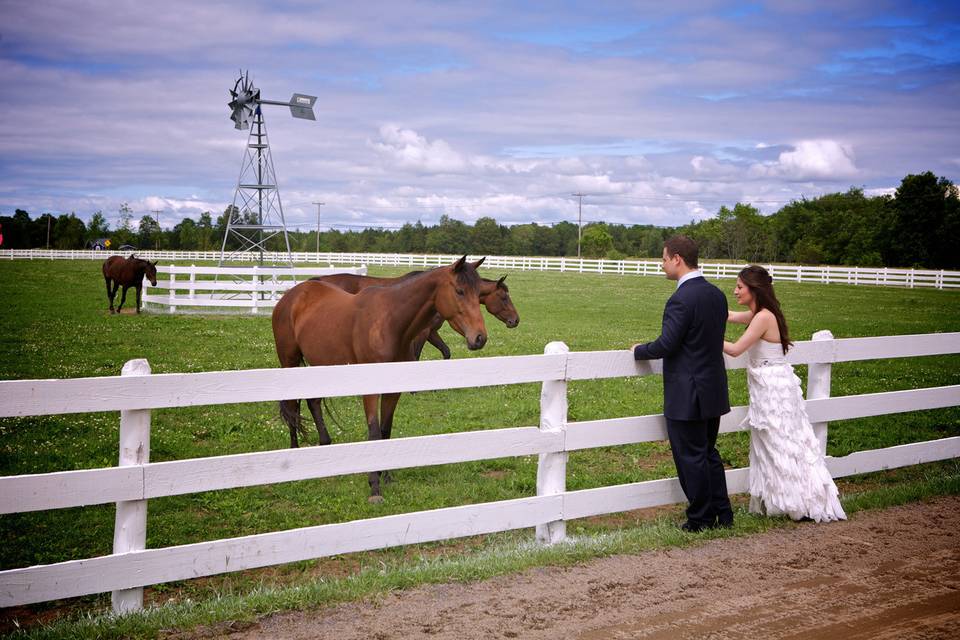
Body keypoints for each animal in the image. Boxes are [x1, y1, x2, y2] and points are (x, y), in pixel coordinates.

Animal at [276, 255, 488, 500]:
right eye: (460, 291)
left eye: (479, 293)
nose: (479, 337)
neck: (391, 323)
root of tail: (291, 295)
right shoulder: (370, 390)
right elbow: (374, 433)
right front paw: (374, 485)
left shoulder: (393, 390)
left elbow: (386, 431)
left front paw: (386, 476)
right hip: (289, 362)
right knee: (292, 406)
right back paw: (294, 453)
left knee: (313, 402)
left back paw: (325, 445)